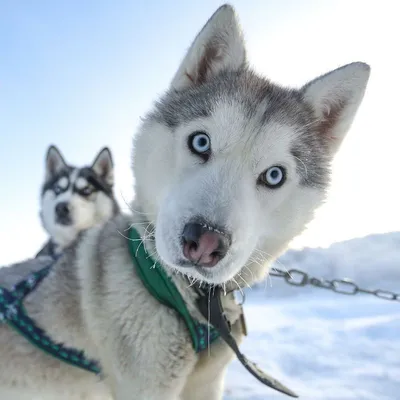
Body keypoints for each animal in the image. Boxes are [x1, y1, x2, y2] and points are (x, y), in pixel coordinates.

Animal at [0, 3, 372, 400]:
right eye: (201, 142)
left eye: (274, 175)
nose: (205, 241)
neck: (194, 300)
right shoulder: (147, 385)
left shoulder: (207, 382)